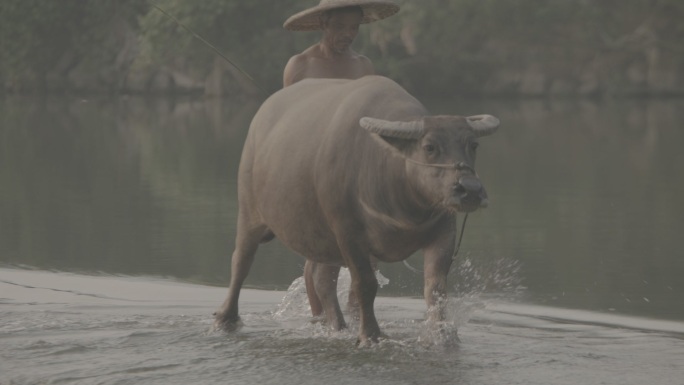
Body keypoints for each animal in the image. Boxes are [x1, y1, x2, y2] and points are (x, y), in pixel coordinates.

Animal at [216, 75, 500, 342]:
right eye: (429, 147)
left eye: (473, 145)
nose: (470, 190)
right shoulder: (348, 233)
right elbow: (365, 284)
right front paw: (369, 334)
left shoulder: (443, 232)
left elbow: (436, 288)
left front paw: (442, 335)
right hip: (250, 213)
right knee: (241, 261)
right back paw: (226, 318)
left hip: (322, 240)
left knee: (321, 279)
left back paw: (339, 327)